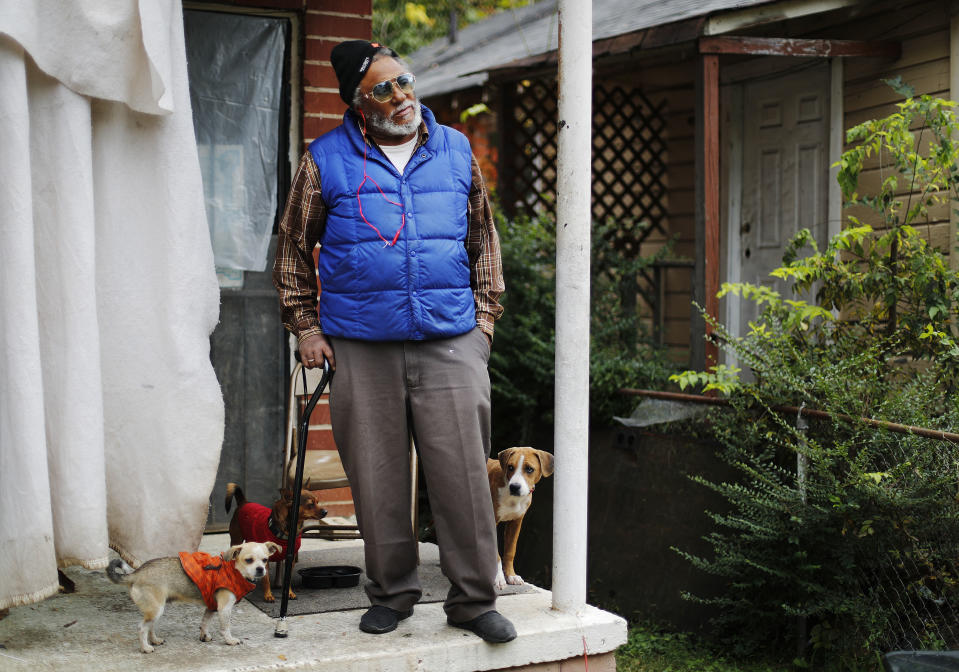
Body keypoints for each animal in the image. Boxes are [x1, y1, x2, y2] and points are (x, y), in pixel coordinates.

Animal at [488, 446, 556, 588]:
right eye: (510, 467)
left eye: (529, 469)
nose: (514, 487)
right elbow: (496, 554)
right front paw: (498, 578)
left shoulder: (515, 522)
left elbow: (510, 551)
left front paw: (511, 576)